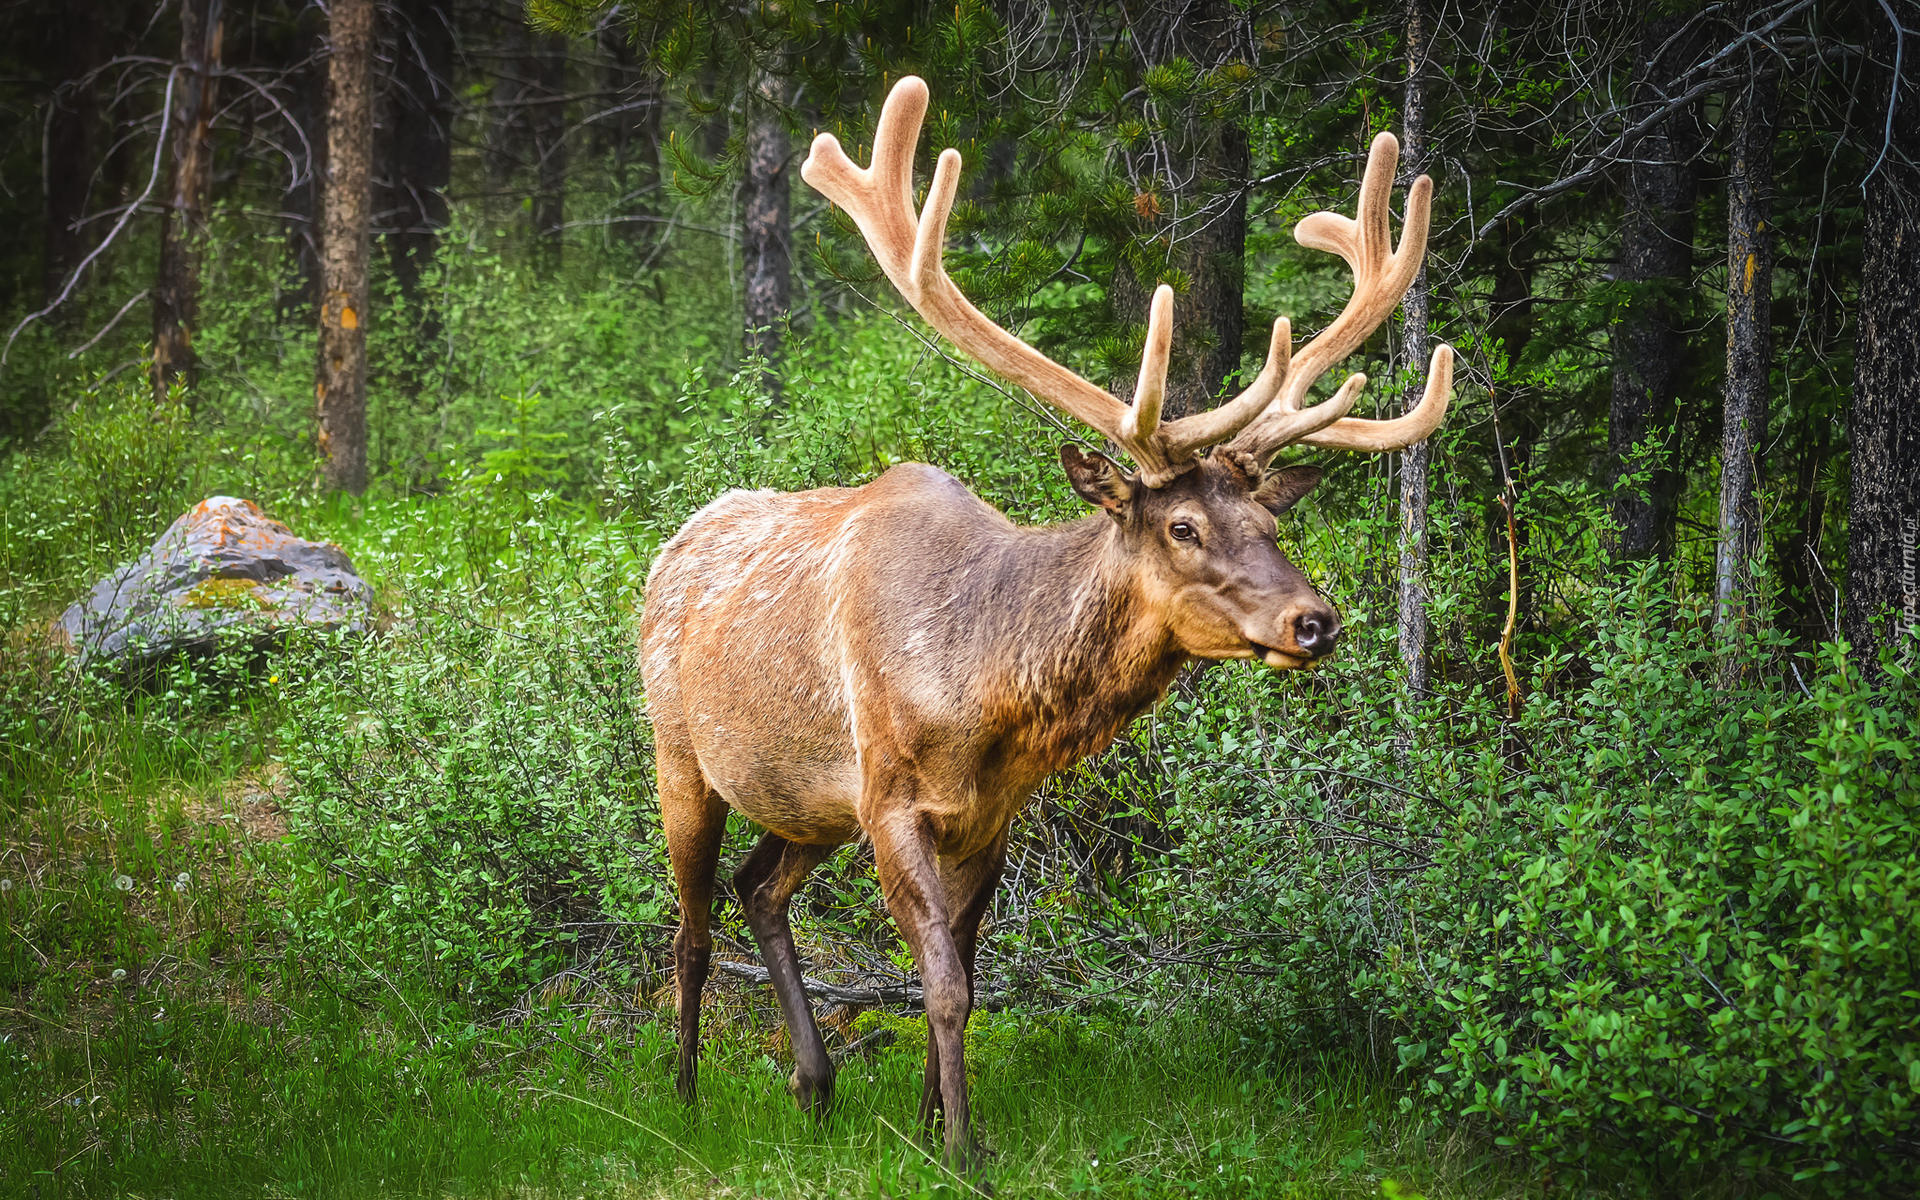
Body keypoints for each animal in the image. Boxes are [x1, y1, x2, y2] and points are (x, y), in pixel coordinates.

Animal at [637, 72, 1443, 1159]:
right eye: (1183, 524)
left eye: (1272, 519)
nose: (1315, 620)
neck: (987, 699)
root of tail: (669, 547)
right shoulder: (892, 798)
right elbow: (938, 986)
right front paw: (963, 1150)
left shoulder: (989, 816)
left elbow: (968, 975)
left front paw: (932, 1120)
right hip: (682, 754)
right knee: (687, 925)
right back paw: (683, 1096)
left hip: (809, 801)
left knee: (758, 888)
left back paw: (815, 1085)